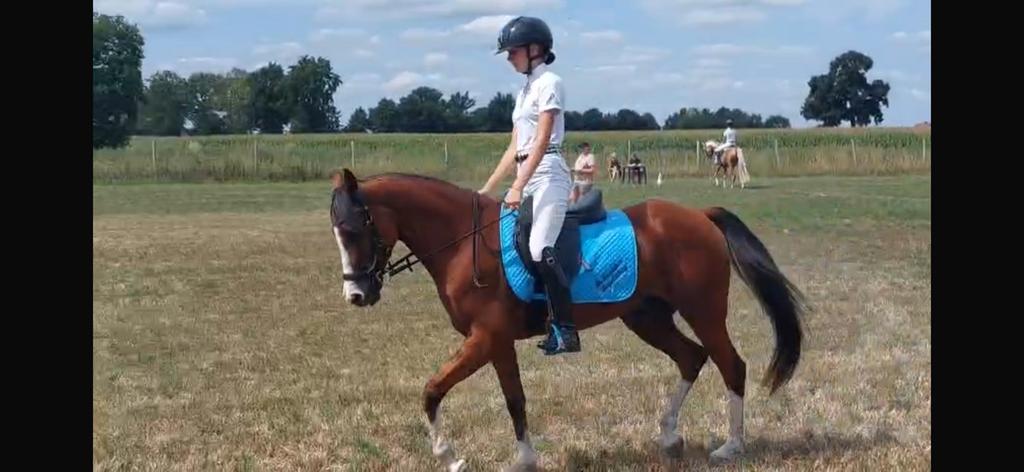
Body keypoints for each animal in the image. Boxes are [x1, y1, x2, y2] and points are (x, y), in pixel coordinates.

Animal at [328, 168, 806, 471]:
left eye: (352, 230)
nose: (356, 295)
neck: (465, 242)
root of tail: (699, 215)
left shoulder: (484, 339)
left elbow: (431, 390)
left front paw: (449, 455)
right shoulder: (496, 342)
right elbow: (515, 400)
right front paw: (524, 460)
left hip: (703, 312)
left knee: (731, 365)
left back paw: (731, 446)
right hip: (647, 318)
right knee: (692, 358)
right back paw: (670, 437)